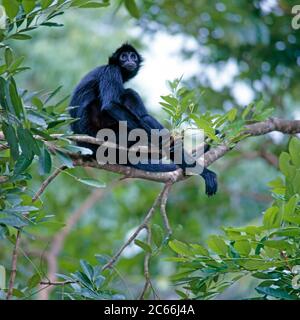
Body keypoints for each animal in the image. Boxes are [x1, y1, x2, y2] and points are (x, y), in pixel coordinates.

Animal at [69, 43, 217, 196]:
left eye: (133, 56)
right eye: (123, 56)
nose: (130, 60)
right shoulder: (111, 71)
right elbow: (110, 105)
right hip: (107, 133)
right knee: (133, 100)